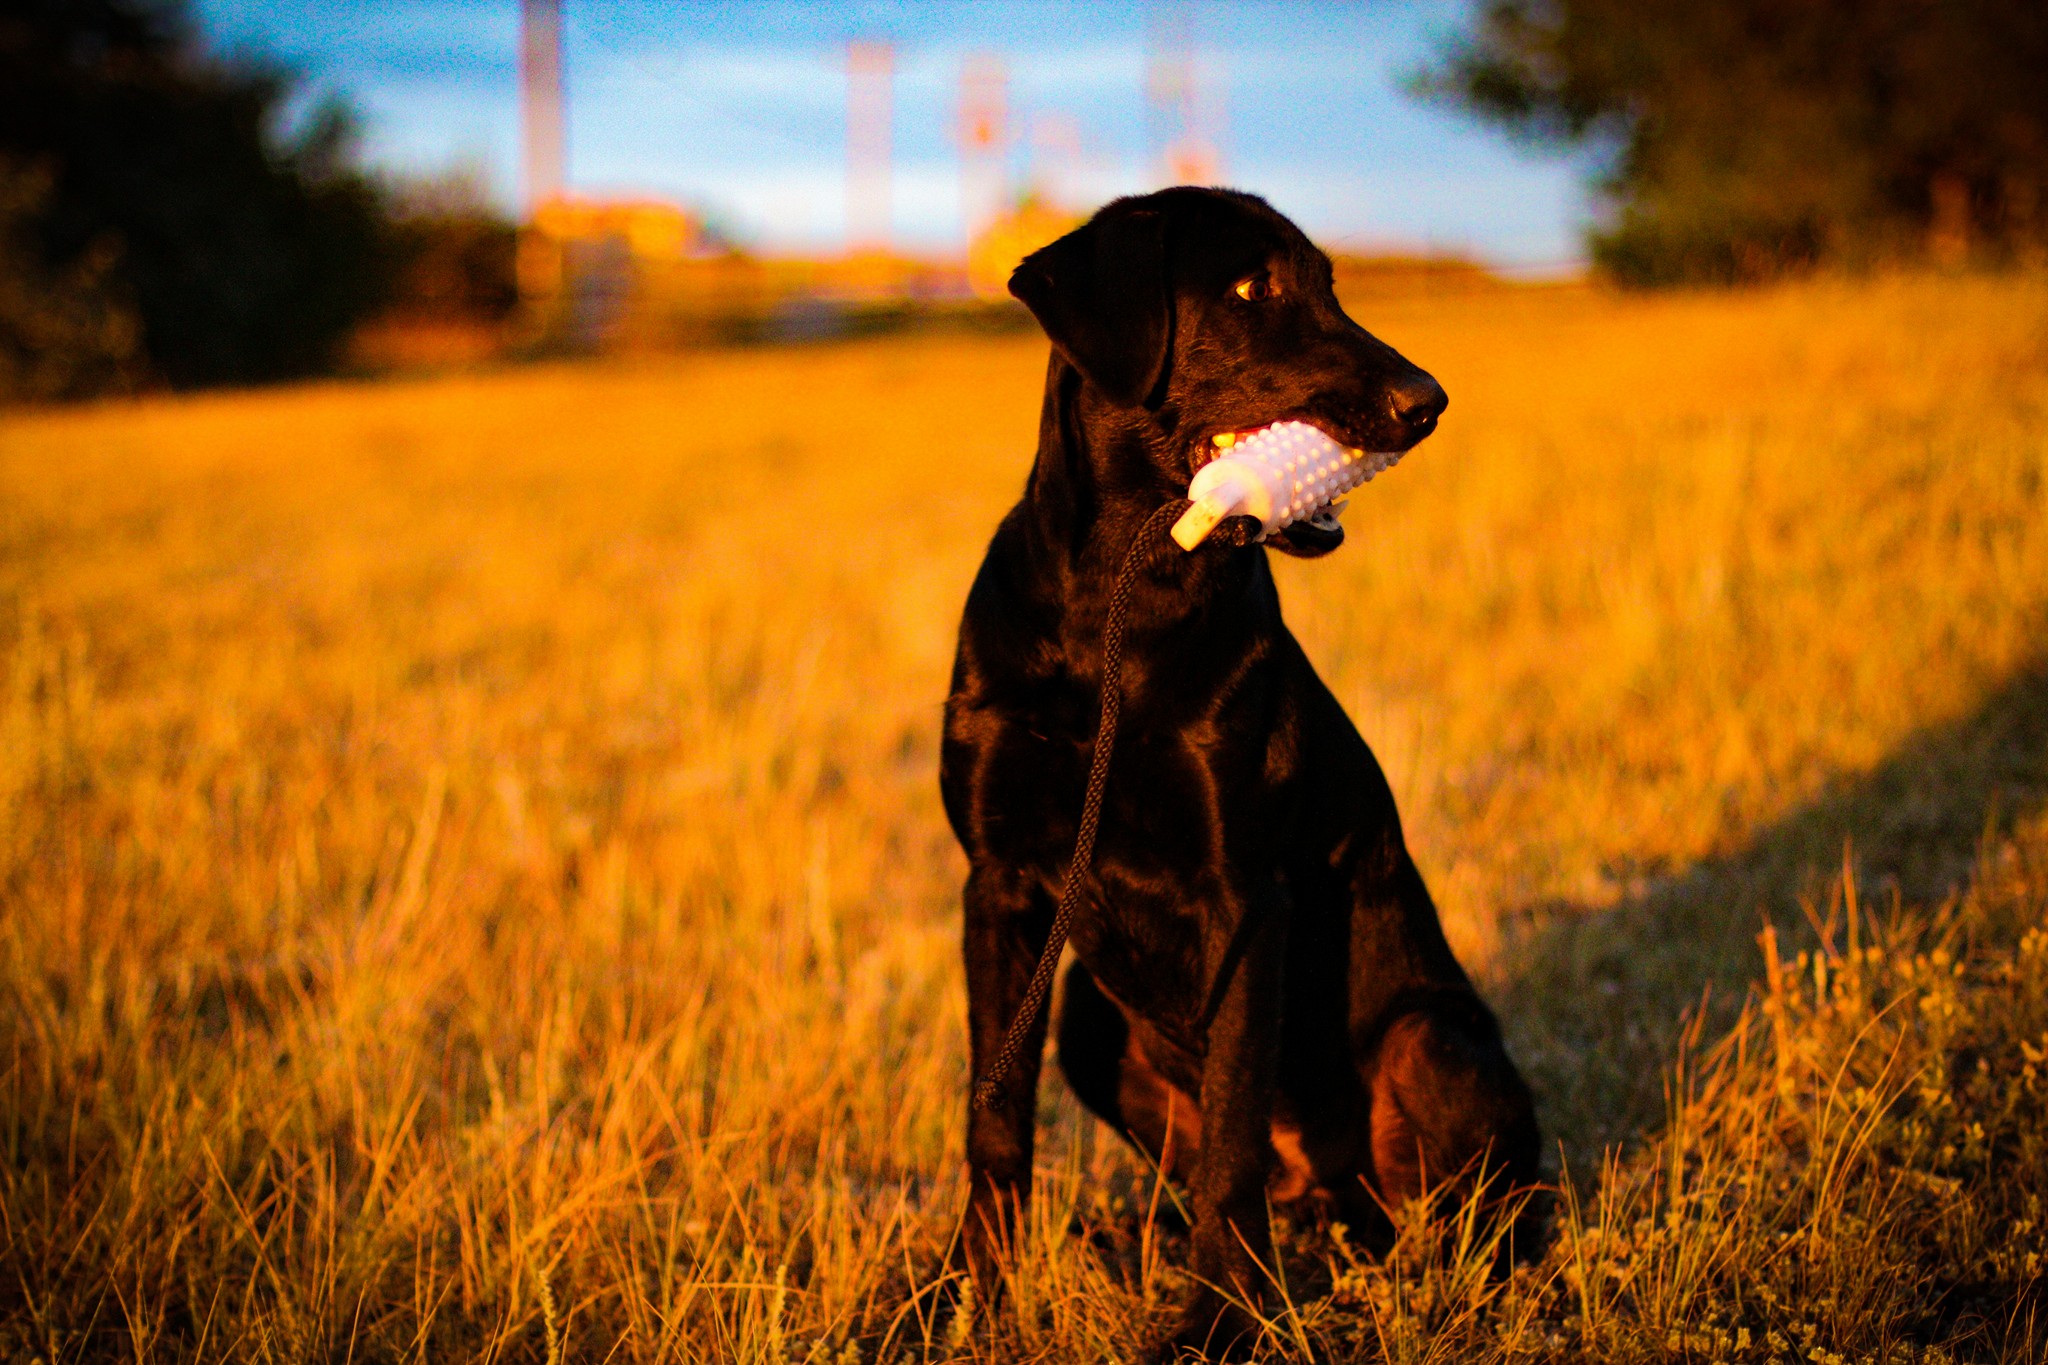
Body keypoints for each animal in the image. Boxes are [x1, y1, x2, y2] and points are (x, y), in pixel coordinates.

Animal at [942, 189, 1540, 1358]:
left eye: (1329, 285)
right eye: (1251, 289)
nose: (1427, 402)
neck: (1118, 603)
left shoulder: (1242, 899)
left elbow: (1229, 1137)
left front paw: (1220, 1320)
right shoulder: (998, 888)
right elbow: (995, 1124)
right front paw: (965, 1297)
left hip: (1429, 1040)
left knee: (1464, 1212)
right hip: (1087, 1018)